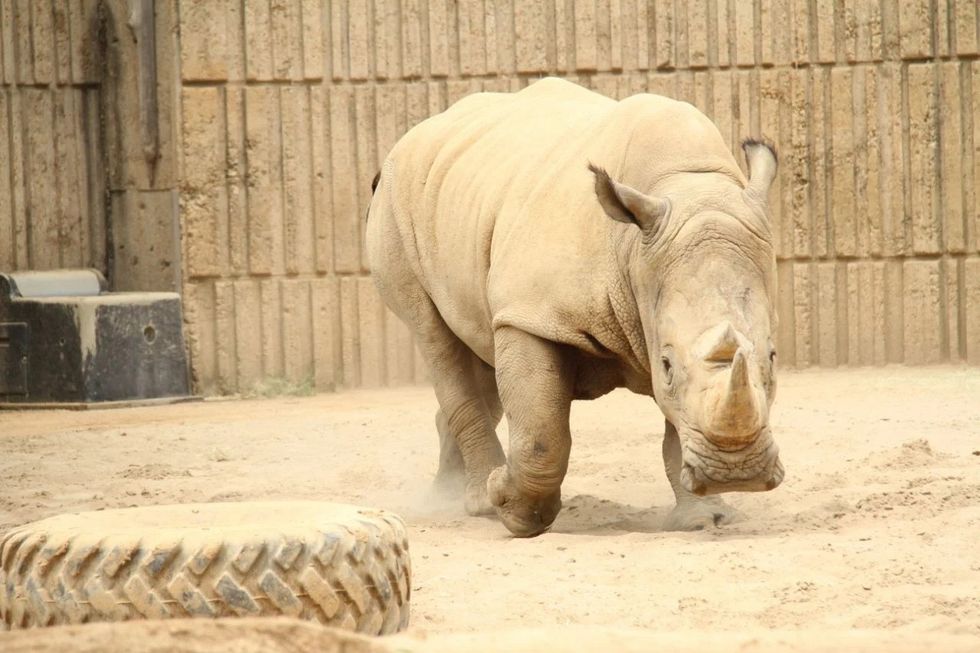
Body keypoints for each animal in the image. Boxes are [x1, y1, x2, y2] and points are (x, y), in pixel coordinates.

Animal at [366, 77, 784, 537]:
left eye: (772, 357)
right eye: (667, 364)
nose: (737, 472)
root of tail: (407, 141)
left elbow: (677, 423)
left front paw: (705, 519)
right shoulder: (531, 314)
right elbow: (541, 434)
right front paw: (516, 513)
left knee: (480, 348)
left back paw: (450, 495)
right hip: (395, 211)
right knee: (434, 338)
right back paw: (479, 503)